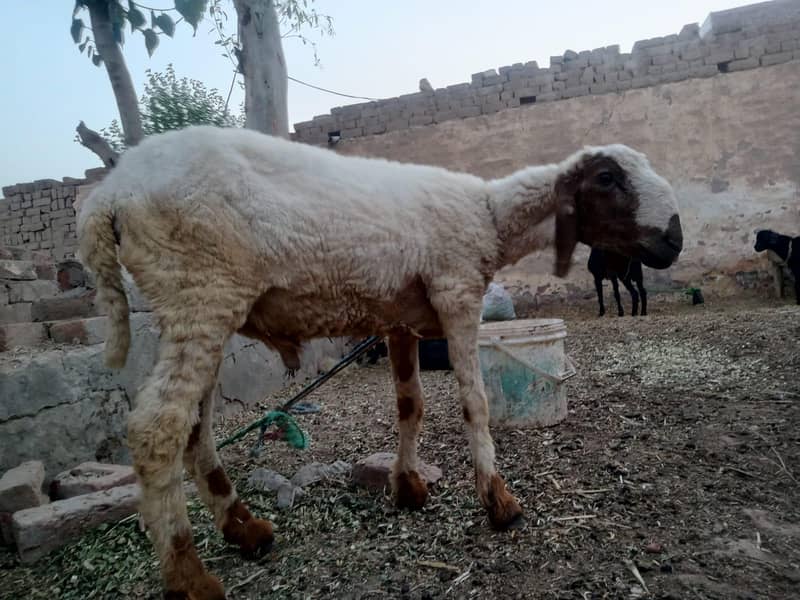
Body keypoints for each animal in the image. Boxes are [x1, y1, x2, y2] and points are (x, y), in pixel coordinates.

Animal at [77, 125, 683, 599]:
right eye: (607, 179)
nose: (675, 238)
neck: (487, 216)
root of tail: (110, 192)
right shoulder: (456, 292)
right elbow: (475, 405)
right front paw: (499, 500)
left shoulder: (399, 320)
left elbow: (410, 405)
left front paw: (408, 486)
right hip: (199, 292)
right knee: (157, 429)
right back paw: (190, 576)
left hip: (198, 308)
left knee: (194, 428)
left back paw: (242, 528)